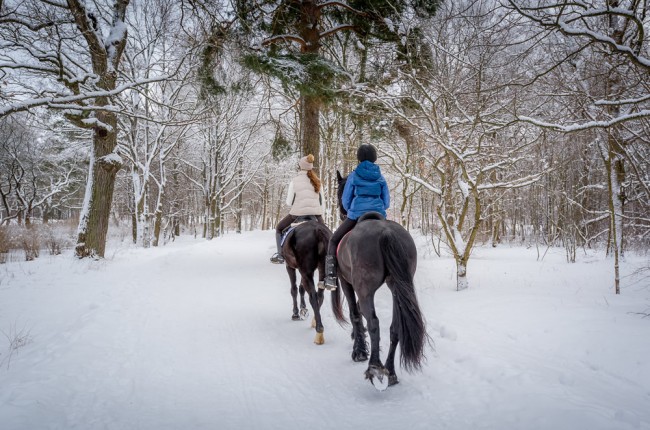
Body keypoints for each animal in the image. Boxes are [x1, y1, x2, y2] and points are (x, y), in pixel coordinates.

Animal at [332, 170, 428, 390]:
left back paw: (374, 368)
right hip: (397, 287)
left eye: (341, 191)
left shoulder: (346, 281)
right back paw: (390, 372)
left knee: (374, 321)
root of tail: (386, 232)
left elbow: (355, 314)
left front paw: (359, 350)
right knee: (395, 327)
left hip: (365, 288)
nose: (342, 212)